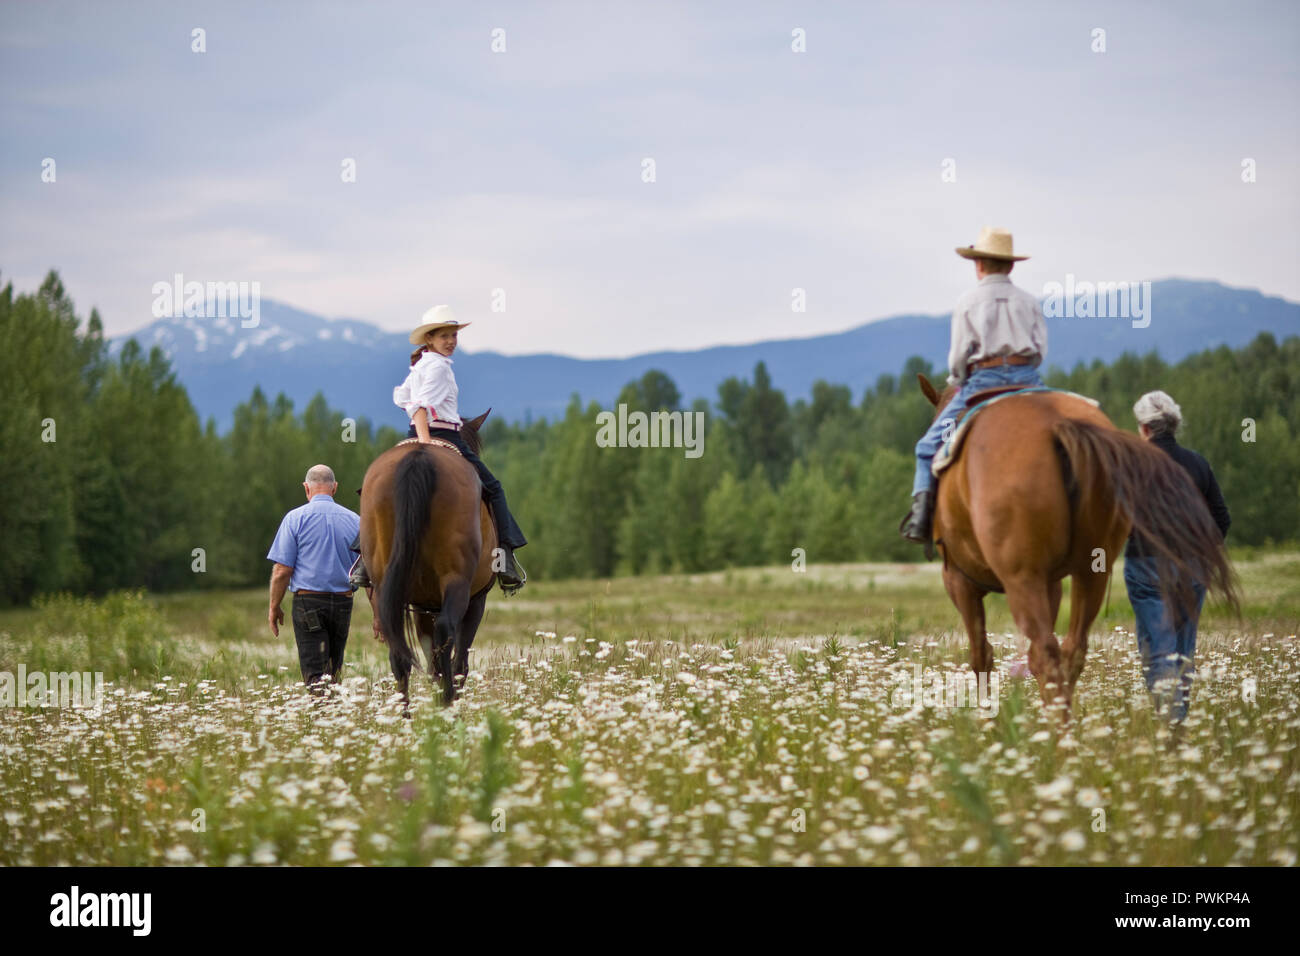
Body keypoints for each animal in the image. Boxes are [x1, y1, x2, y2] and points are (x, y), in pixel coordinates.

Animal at [361, 411, 496, 712]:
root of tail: (418, 458)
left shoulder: (421, 605)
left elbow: (431, 659)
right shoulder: (476, 600)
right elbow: (458, 662)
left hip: (385, 587)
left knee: (399, 653)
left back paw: (405, 716)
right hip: (457, 582)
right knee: (446, 636)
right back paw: (447, 704)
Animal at [920, 377, 1232, 723]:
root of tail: (1059, 424)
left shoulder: (960, 582)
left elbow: (981, 656)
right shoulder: (1052, 585)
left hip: (1022, 579)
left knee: (1046, 655)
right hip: (1092, 572)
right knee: (1071, 652)